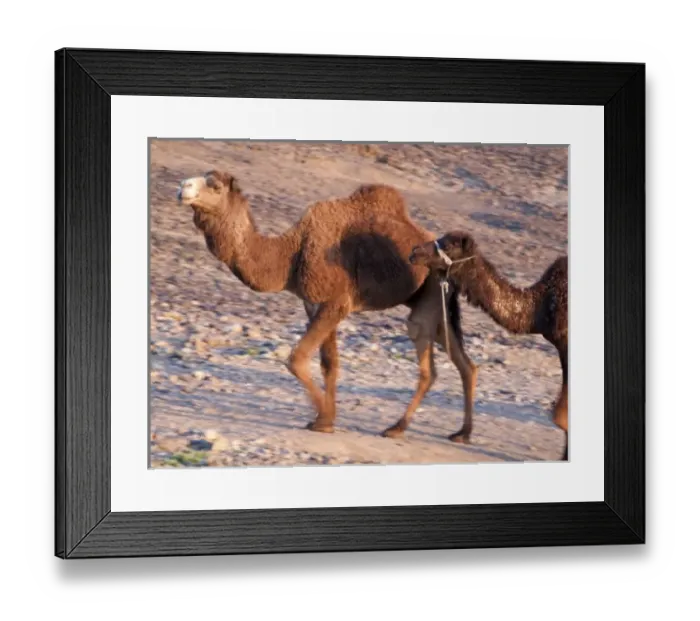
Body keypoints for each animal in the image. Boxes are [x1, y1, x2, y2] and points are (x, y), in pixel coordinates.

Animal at [176, 169, 479, 443]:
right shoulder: (315, 303)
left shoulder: (337, 303)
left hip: (430, 290)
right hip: (436, 298)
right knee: (465, 362)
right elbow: (329, 363)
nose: (182, 187)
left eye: (215, 186)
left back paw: (397, 427)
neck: (292, 255)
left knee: (428, 358)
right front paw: (324, 418)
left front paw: (324, 419)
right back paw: (462, 432)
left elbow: (297, 359)